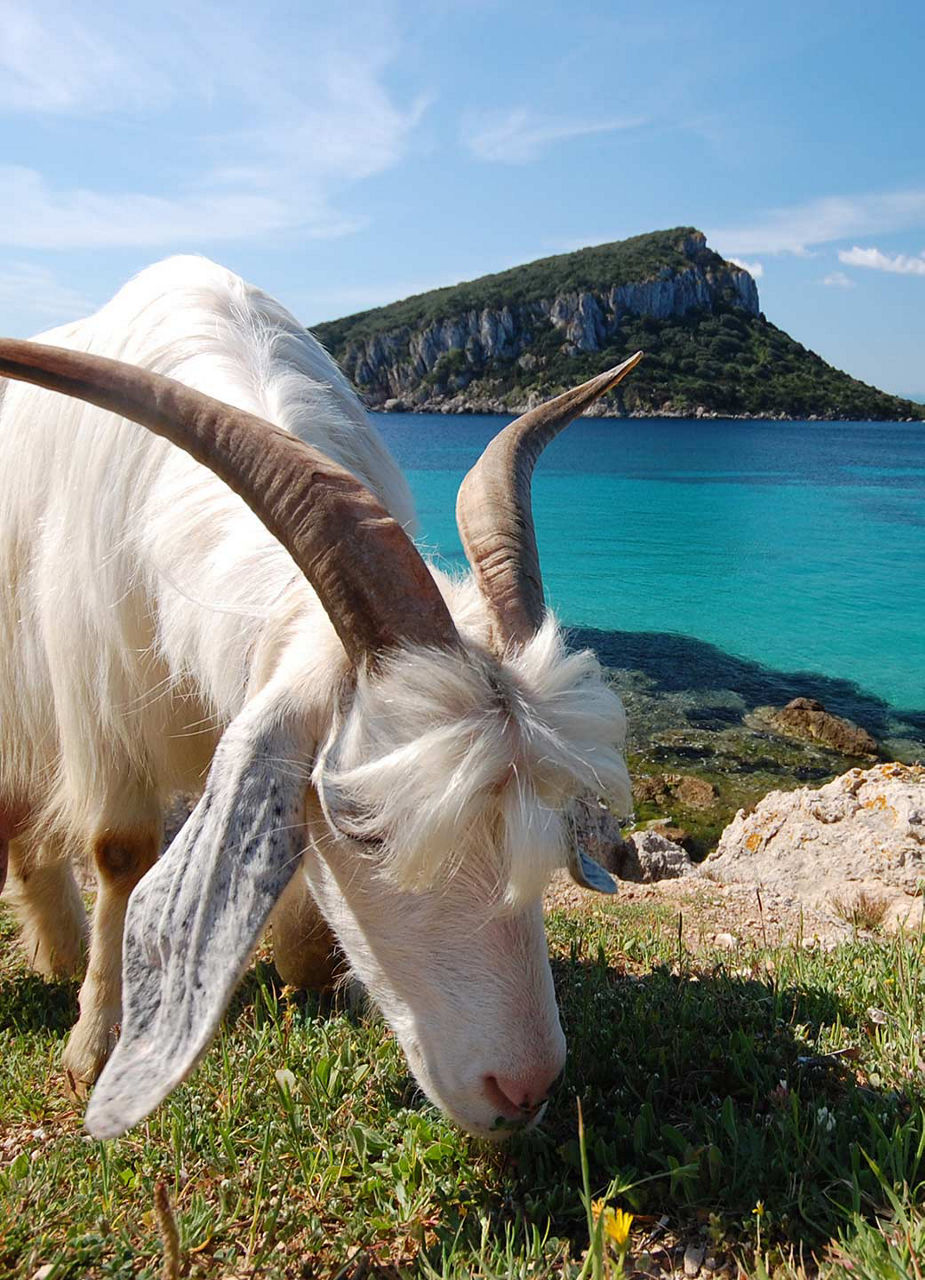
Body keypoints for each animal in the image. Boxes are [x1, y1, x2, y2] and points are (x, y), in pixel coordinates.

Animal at [0, 256, 640, 1139]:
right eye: (362, 828)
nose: (522, 1089)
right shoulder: (99, 703)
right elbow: (120, 851)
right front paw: (96, 1041)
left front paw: (309, 967)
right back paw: (62, 953)